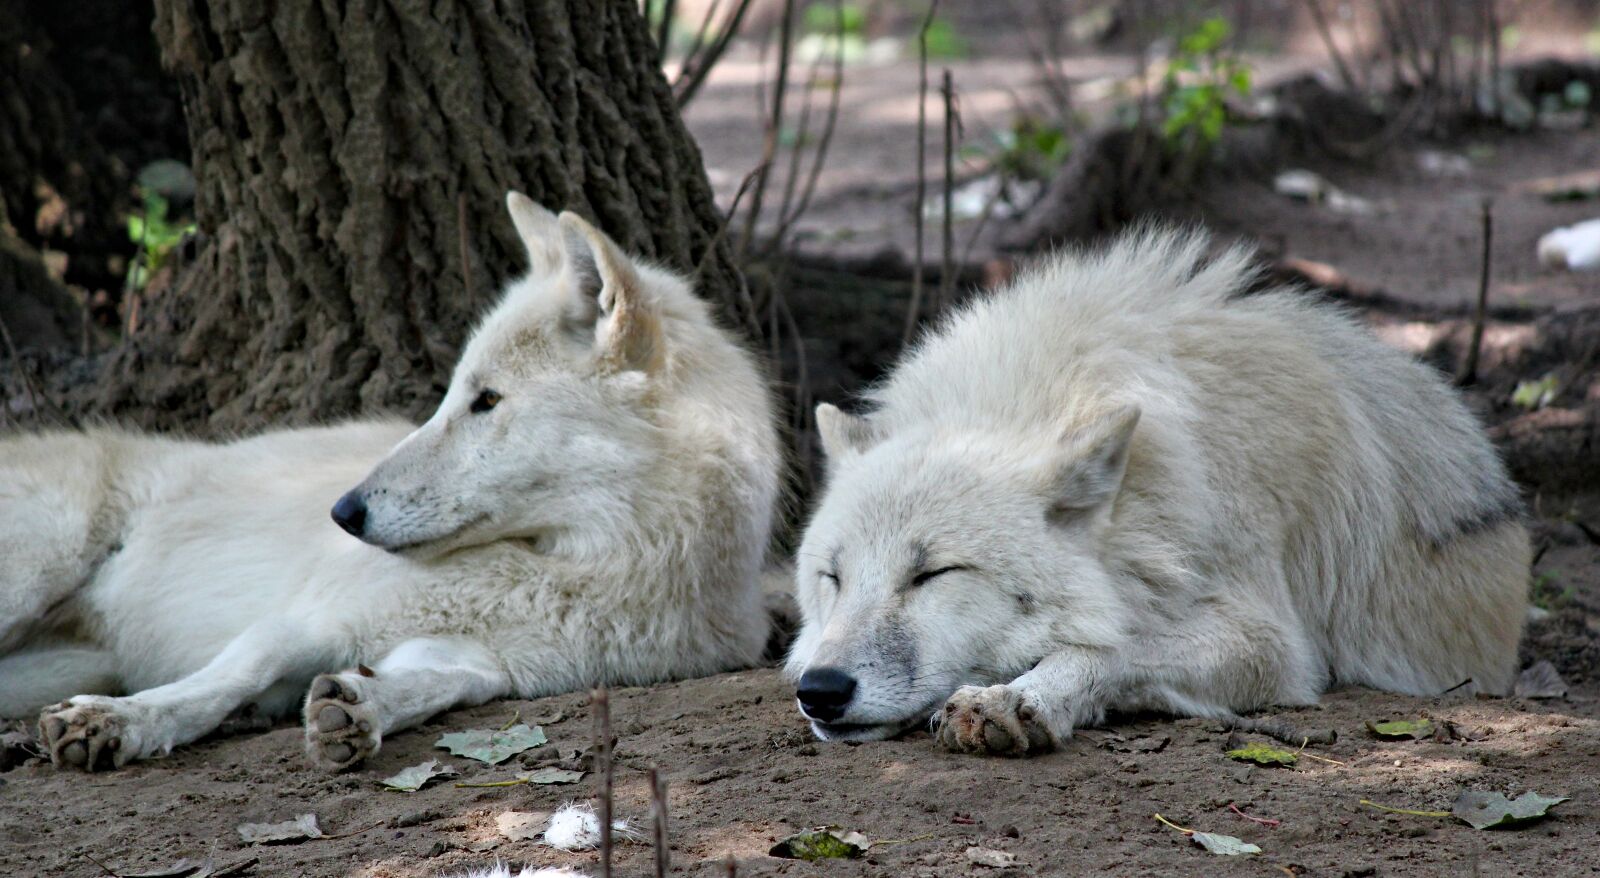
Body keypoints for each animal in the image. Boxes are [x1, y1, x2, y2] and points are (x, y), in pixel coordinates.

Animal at [0, 193, 781, 771]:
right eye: (454, 395)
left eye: (486, 401)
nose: (343, 512)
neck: (581, 566)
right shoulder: (305, 616)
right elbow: (221, 681)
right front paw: (119, 723)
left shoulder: (487, 662)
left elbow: (435, 684)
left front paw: (358, 706)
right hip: (34, 575)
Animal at [787, 228, 1529, 754]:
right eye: (833, 578)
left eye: (932, 574)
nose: (819, 690)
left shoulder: (1271, 640)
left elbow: (1114, 646)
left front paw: (1017, 698)